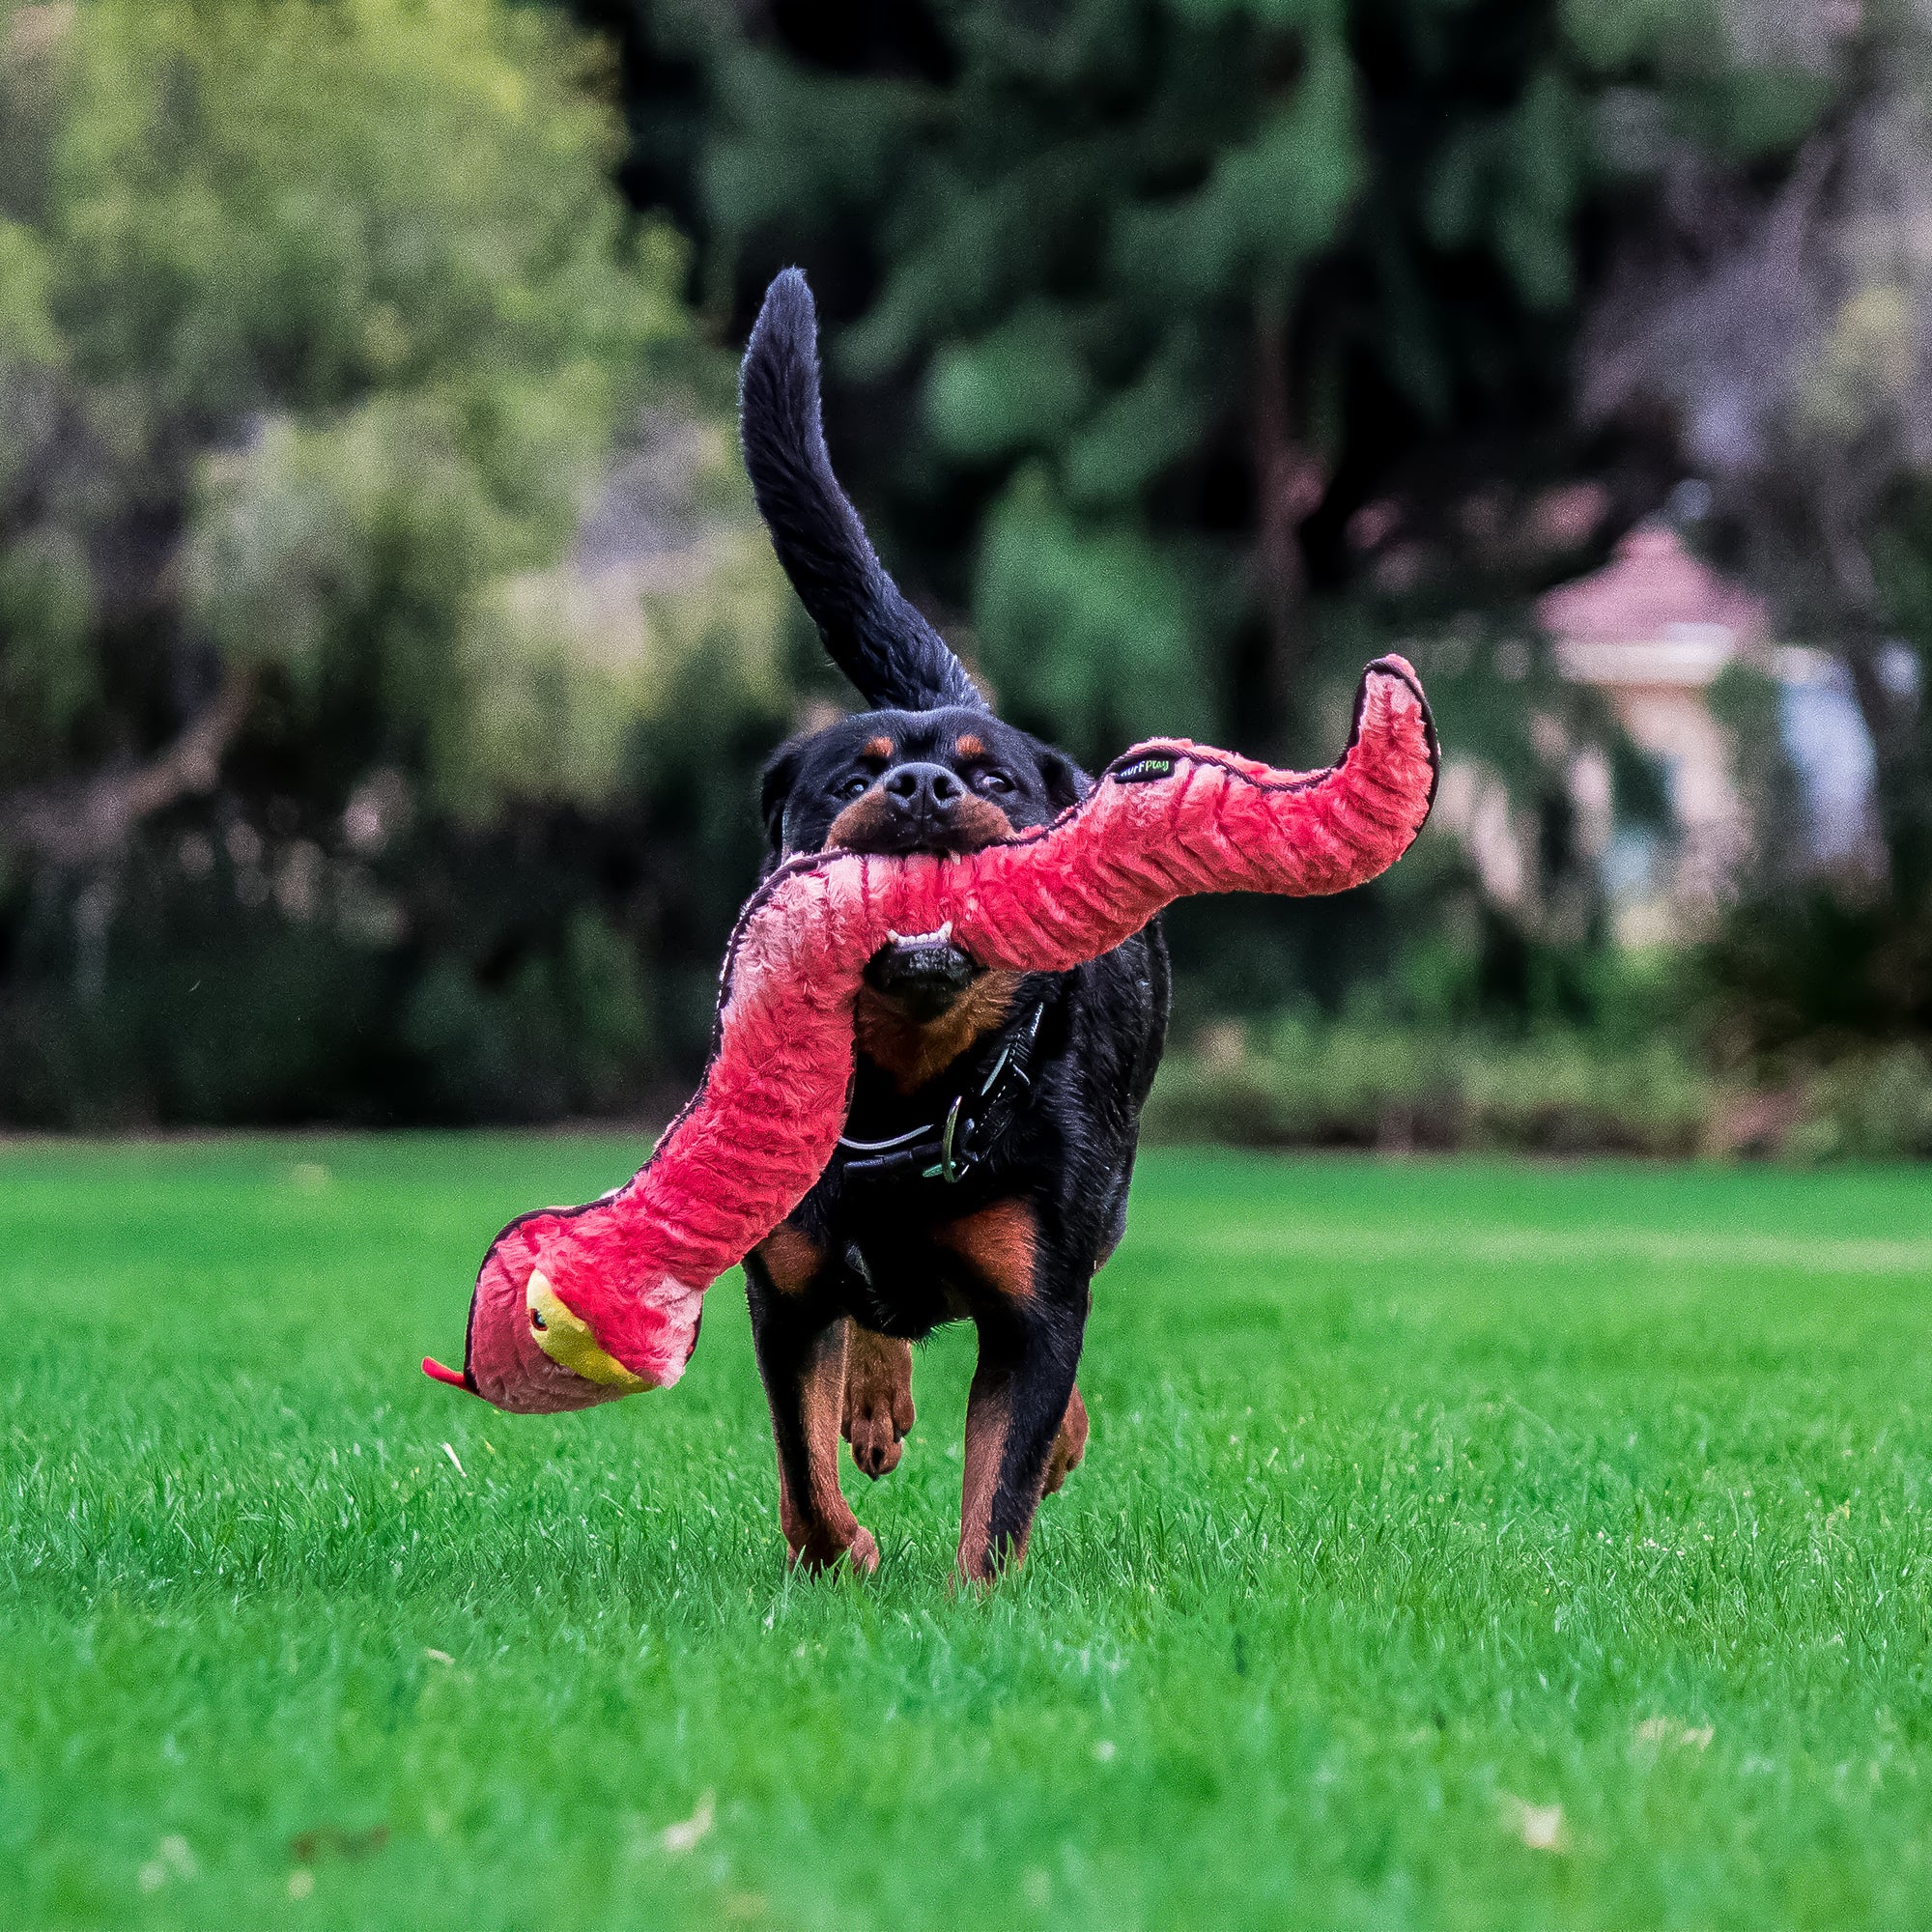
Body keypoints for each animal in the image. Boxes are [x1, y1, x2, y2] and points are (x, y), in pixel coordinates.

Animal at [734, 265, 1159, 1577]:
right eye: (853, 771)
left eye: (994, 779)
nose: (924, 783)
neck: (913, 1088)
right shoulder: (785, 1286)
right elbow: (800, 1464)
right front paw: (840, 1552)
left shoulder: (1035, 1300)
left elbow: (1001, 1482)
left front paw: (980, 1592)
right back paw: (876, 1397)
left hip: (1105, 1193)